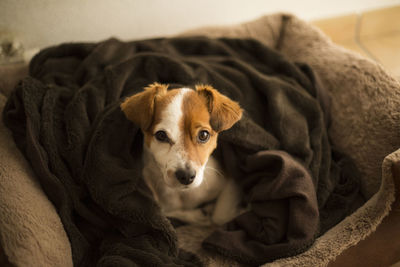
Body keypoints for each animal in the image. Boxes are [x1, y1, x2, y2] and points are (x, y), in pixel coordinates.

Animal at [120, 83, 242, 226]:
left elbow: (219, 217)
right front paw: (199, 215)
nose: (186, 176)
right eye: (161, 135)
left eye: (203, 135)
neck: (183, 194)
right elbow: (165, 212)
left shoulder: (232, 181)